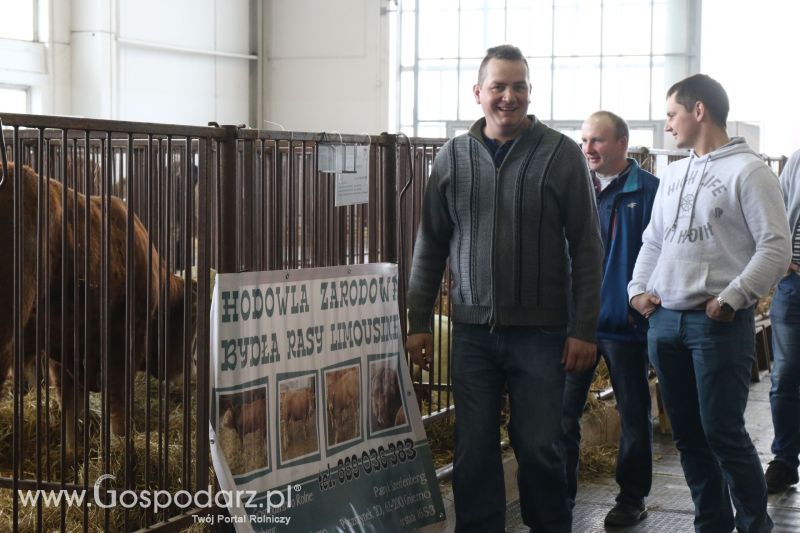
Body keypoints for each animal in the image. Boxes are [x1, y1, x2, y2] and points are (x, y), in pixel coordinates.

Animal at [0, 163, 195, 454]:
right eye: (188, 327)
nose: (188, 373)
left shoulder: (64, 352)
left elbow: (71, 408)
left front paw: (73, 453)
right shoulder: (123, 346)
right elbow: (117, 408)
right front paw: (121, 449)